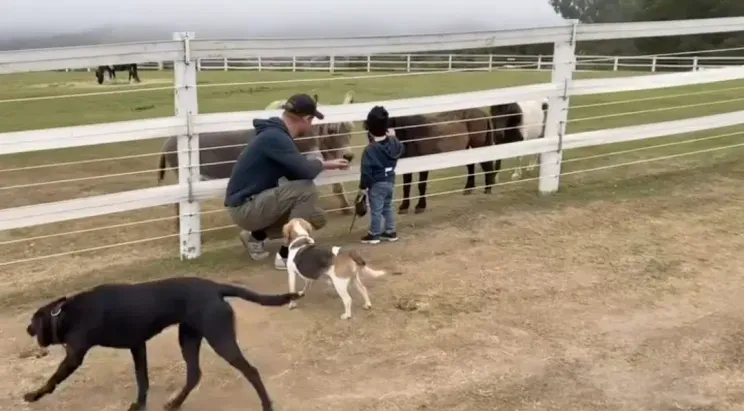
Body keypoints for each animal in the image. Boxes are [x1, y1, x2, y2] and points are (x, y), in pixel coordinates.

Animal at [24, 276, 302, 411]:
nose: (27, 329)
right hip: (188, 337)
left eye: (32, 322)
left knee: (250, 371)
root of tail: (215, 288)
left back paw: (266, 405)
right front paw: (139, 405)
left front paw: (34, 395)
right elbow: (142, 380)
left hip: (219, 338)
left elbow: (52, 379)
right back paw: (175, 403)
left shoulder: (74, 357)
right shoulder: (138, 346)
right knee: (194, 374)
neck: (66, 314)